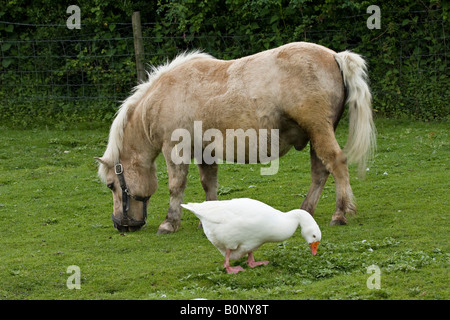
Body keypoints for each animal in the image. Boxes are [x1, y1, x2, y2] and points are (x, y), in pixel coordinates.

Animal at [96, 42, 376, 232]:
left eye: (111, 185)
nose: (120, 225)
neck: (165, 95)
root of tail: (334, 56)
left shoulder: (175, 149)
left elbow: (176, 186)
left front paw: (169, 222)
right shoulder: (204, 152)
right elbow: (209, 183)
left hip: (319, 130)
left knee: (336, 163)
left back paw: (340, 213)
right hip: (316, 135)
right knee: (320, 172)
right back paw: (306, 210)